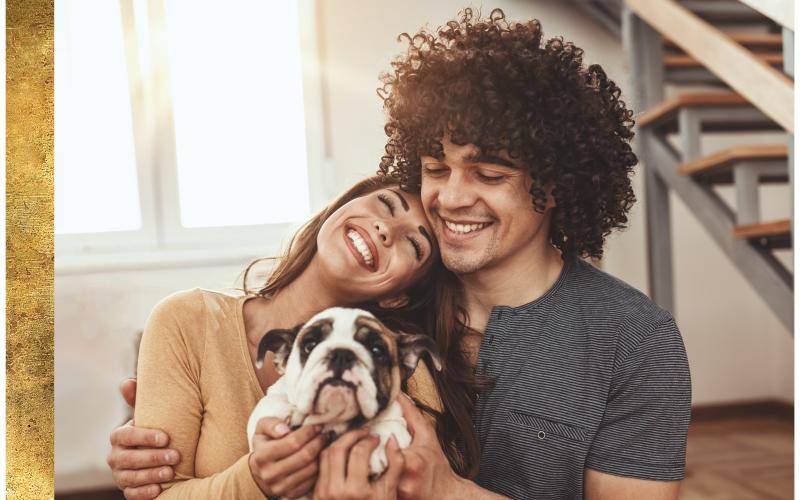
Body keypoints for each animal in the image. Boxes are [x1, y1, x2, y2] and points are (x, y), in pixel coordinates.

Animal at [247, 304, 440, 476]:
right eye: (310, 345)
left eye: (377, 350)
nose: (342, 353)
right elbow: (270, 403)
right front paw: (293, 411)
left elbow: (391, 427)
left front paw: (374, 446)